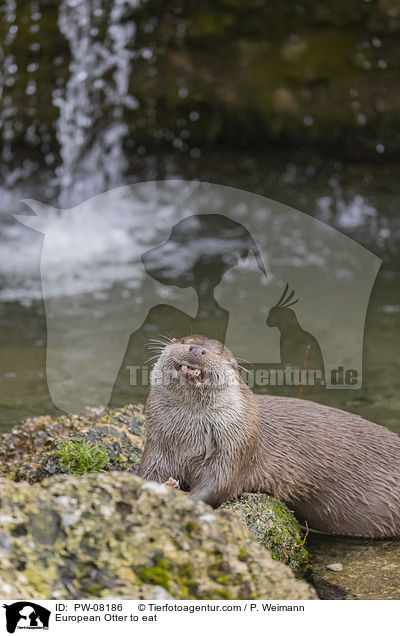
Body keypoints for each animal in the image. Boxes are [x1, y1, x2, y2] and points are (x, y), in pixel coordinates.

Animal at [138, 332, 400, 536]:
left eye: (219, 354)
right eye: (184, 340)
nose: (197, 349)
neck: (189, 438)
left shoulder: (236, 447)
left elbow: (217, 486)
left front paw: (181, 497)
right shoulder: (158, 446)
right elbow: (147, 474)